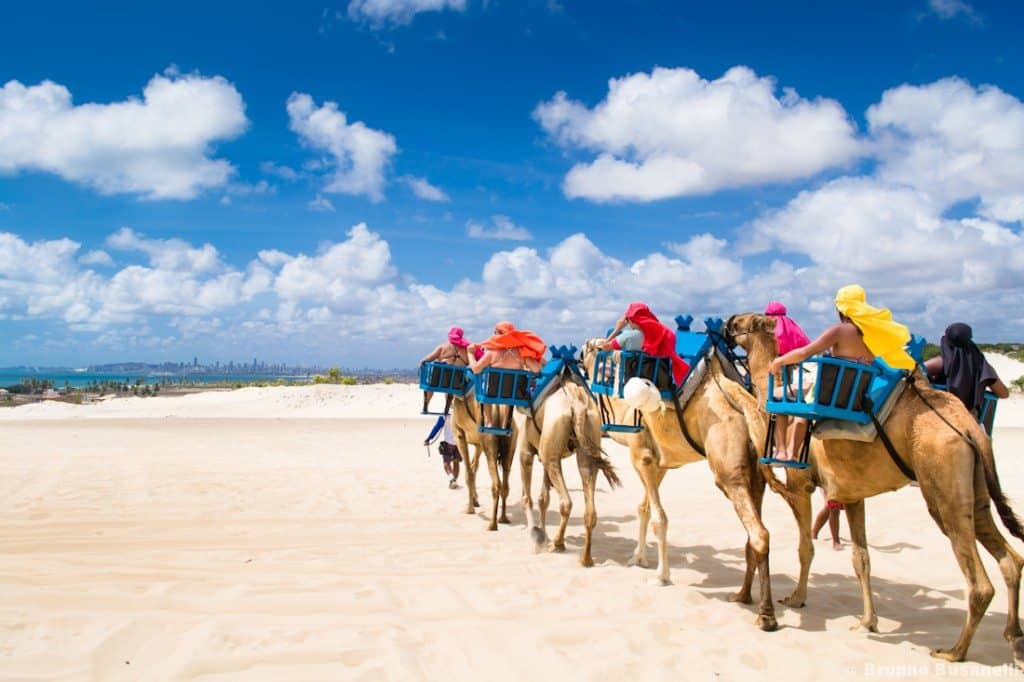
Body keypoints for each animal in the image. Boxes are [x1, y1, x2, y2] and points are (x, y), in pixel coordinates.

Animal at [450, 382, 516, 532]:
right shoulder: (478, 444)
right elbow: (474, 467)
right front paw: (475, 501)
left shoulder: (459, 434)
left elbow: (469, 472)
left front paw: (469, 509)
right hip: (510, 444)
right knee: (506, 482)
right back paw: (503, 518)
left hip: (489, 442)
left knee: (496, 483)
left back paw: (492, 524)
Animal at [516, 368, 618, 565]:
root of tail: (577, 404)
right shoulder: (551, 455)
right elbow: (543, 499)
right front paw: (542, 534)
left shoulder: (527, 451)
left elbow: (527, 498)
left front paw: (536, 537)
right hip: (586, 448)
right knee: (590, 510)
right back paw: (585, 558)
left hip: (550, 454)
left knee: (566, 502)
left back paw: (557, 544)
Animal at [581, 337, 786, 630]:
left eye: (591, 348)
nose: (581, 351)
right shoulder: (661, 463)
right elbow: (644, 509)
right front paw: (638, 558)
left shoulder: (642, 457)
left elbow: (660, 518)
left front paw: (661, 576)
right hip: (755, 474)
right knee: (754, 532)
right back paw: (742, 595)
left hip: (729, 473)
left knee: (759, 534)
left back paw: (766, 615)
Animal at [724, 313, 1024, 663]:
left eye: (743, 323)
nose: (727, 323)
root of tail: (969, 428)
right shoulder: (852, 493)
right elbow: (861, 559)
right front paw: (868, 621)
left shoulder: (801, 486)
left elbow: (805, 548)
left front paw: (796, 598)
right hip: (976, 489)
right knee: (1009, 558)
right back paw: (1014, 639)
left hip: (942, 481)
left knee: (978, 580)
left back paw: (953, 651)